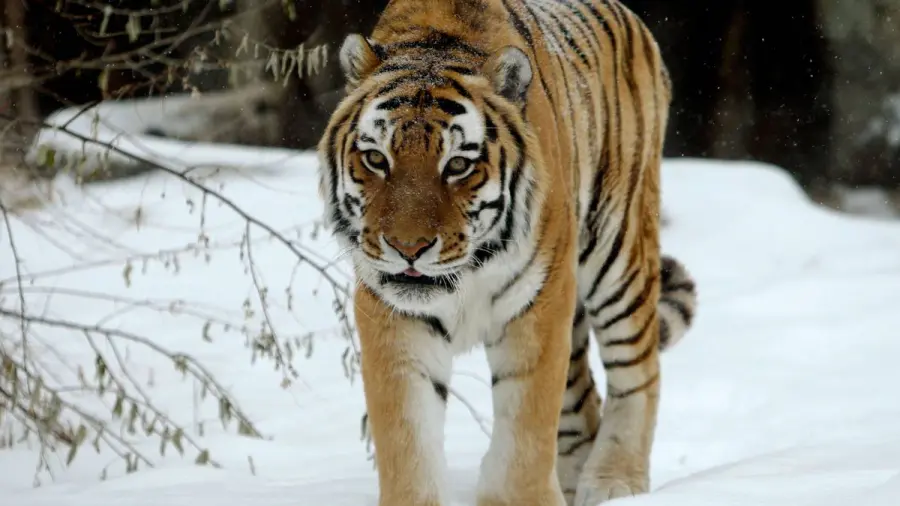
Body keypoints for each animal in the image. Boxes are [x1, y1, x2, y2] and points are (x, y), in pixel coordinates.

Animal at [316, 1, 698, 505]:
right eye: (377, 159)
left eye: (458, 165)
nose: (407, 247)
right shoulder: (394, 317)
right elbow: (406, 435)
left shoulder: (538, 304)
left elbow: (526, 431)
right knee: (582, 403)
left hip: (619, 250)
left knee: (638, 372)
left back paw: (615, 483)